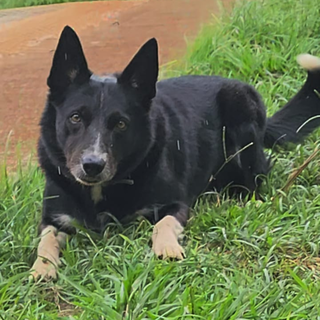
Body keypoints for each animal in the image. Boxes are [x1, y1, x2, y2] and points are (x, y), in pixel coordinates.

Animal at [31, 26, 320, 278]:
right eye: (75, 117)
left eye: (121, 124)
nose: (92, 165)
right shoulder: (53, 218)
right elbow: (45, 241)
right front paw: (41, 268)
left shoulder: (175, 204)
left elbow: (163, 224)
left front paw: (167, 248)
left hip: (241, 115)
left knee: (254, 181)